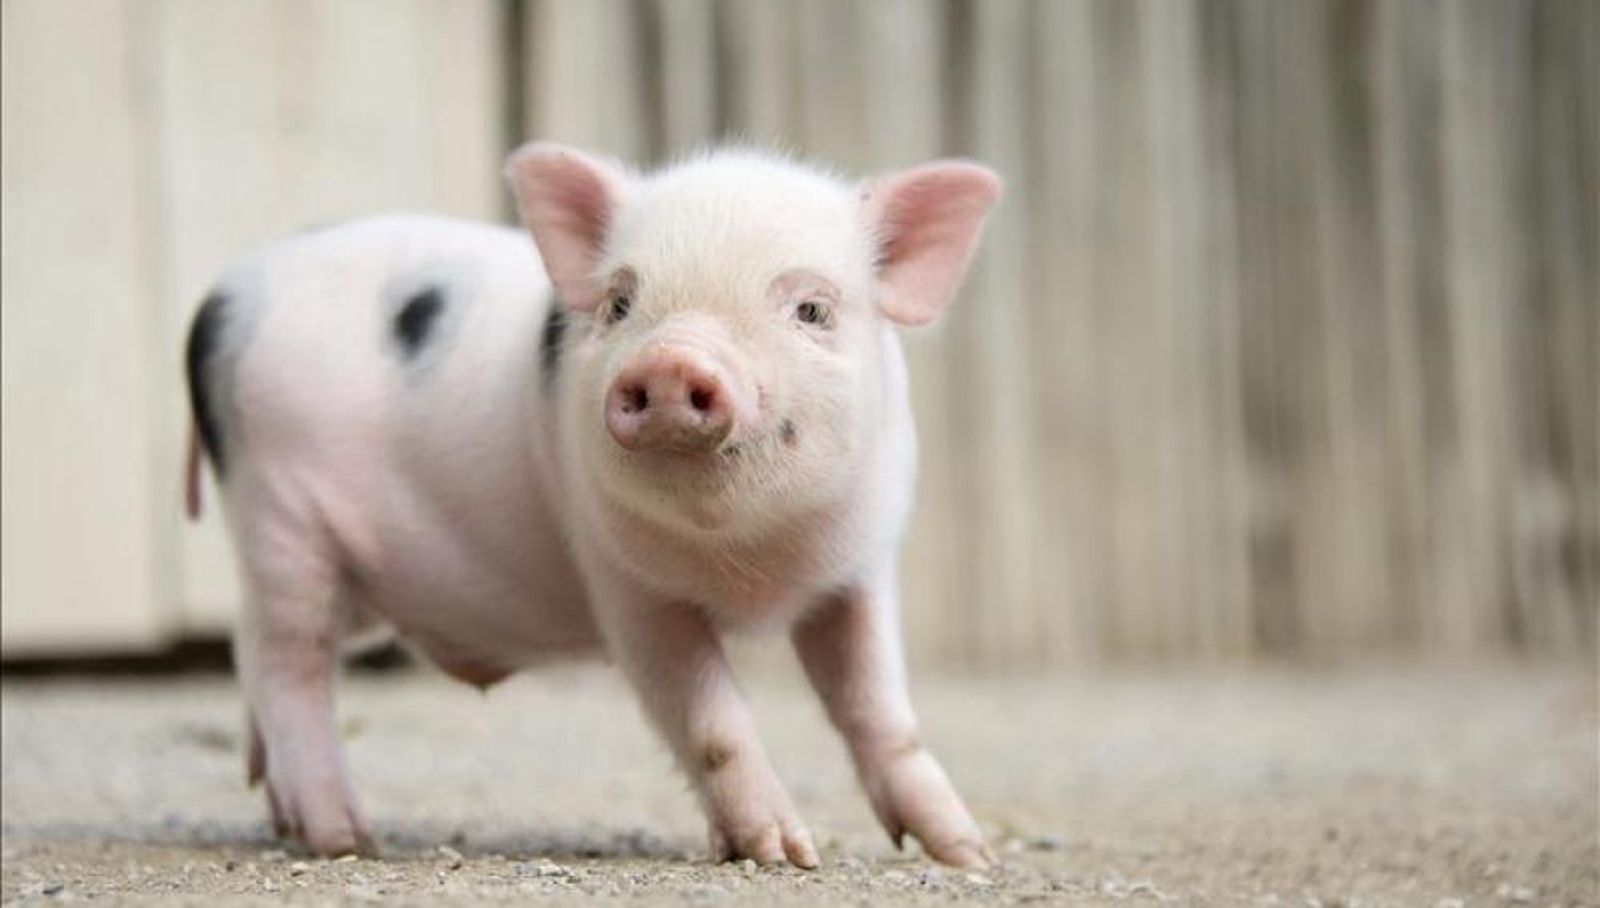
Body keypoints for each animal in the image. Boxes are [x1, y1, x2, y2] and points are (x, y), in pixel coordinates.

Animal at [183, 142, 1001, 869]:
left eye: (810, 309)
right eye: (621, 302)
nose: (670, 360)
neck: (749, 562)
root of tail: (217, 300)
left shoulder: (857, 570)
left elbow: (878, 711)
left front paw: (966, 853)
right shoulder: (627, 585)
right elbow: (711, 722)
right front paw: (783, 853)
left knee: (255, 644)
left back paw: (283, 809)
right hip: (280, 515)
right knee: (286, 659)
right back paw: (344, 839)